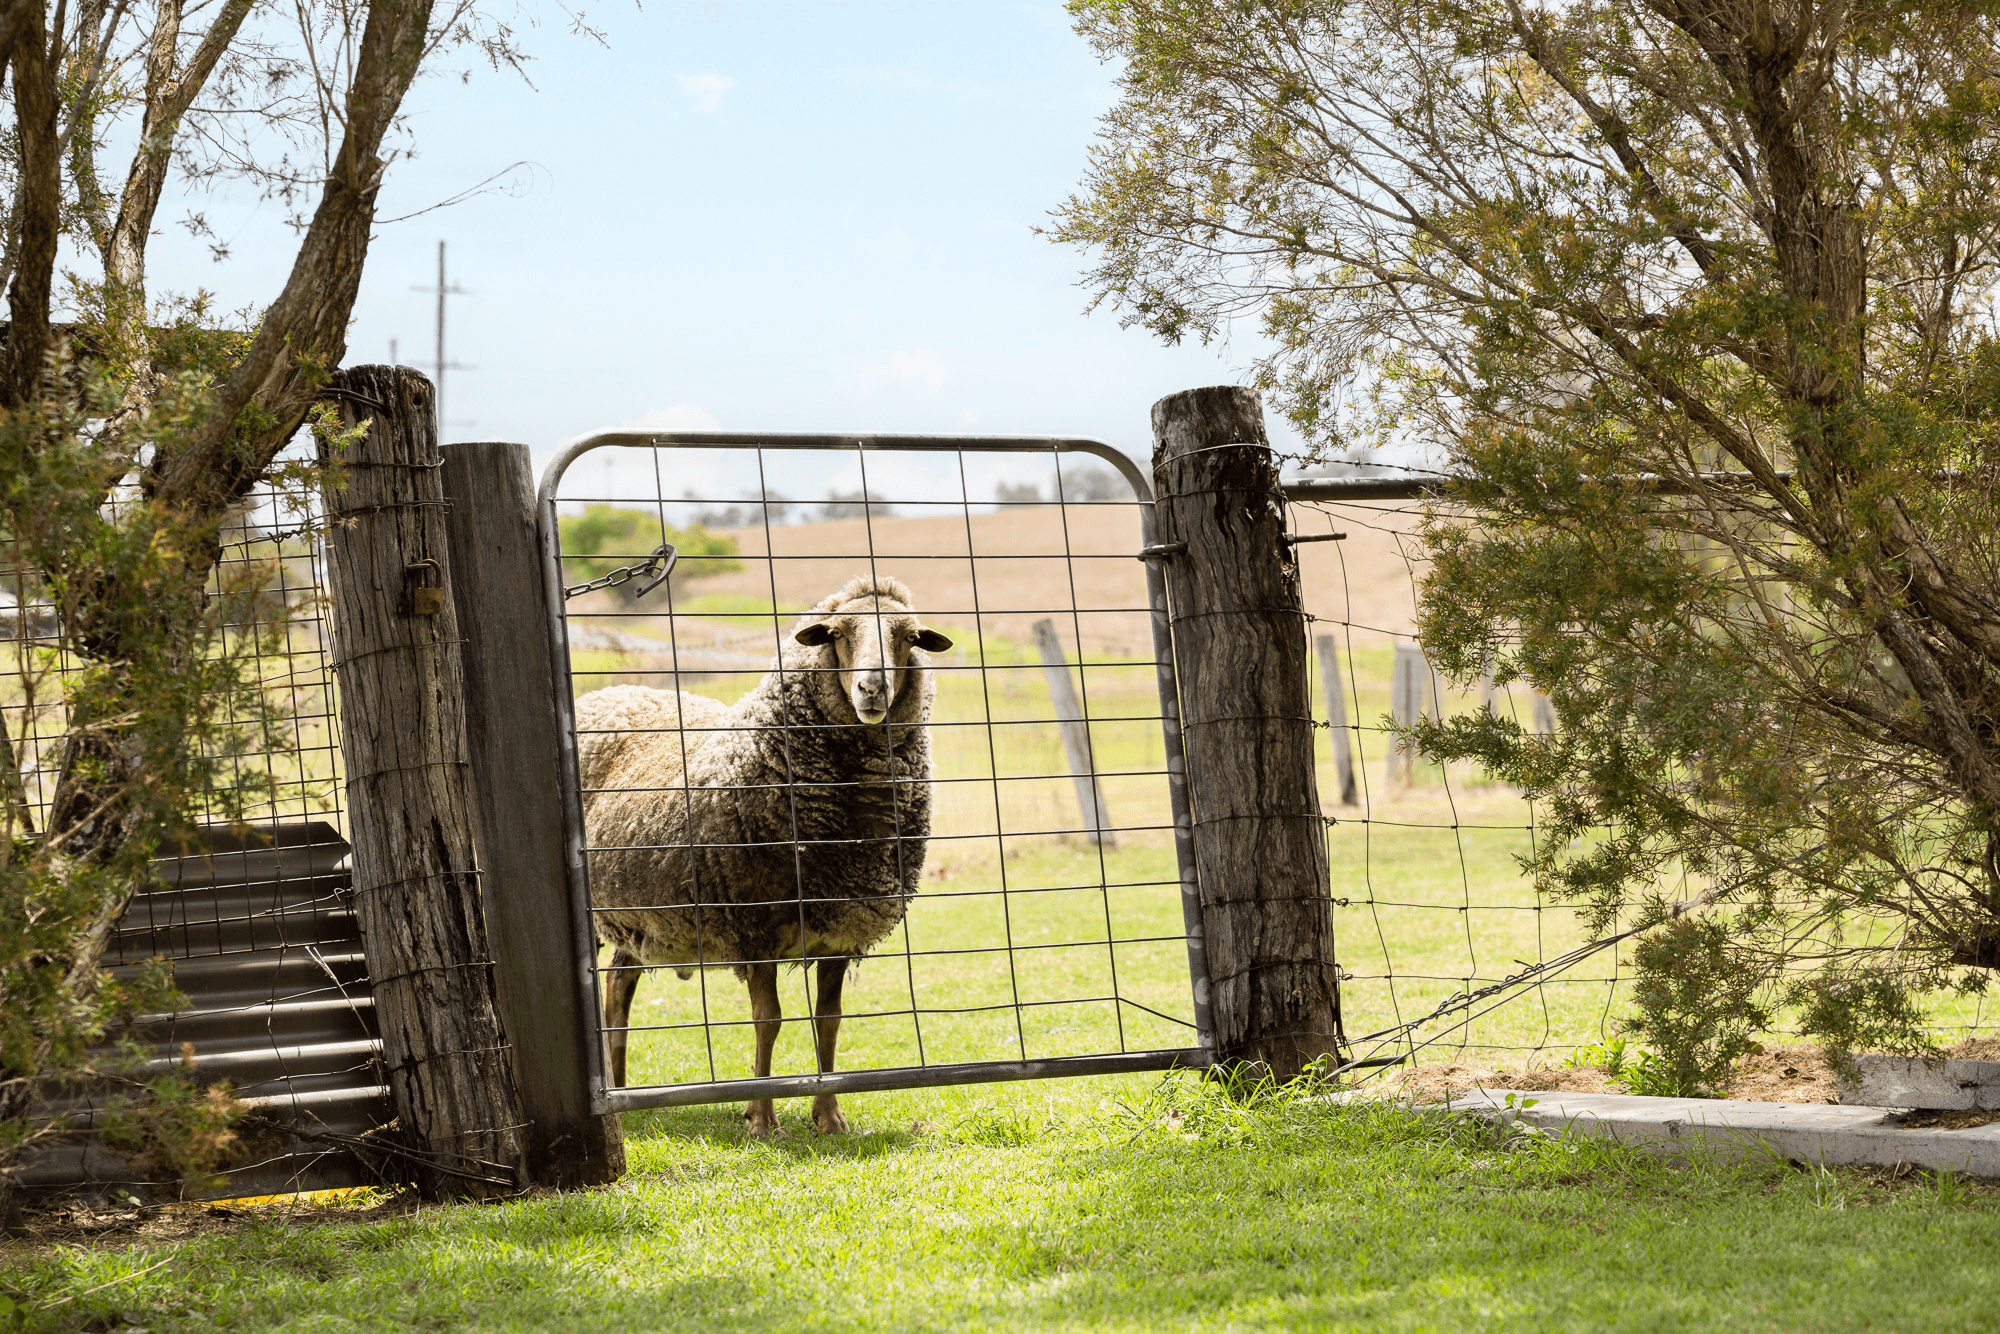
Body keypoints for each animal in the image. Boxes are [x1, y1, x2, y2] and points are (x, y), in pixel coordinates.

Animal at [580, 576, 952, 1136]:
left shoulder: (839, 926)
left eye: (909, 637)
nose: (872, 690)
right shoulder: (752, 924)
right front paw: (760, 1115)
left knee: (619, 984)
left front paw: (829, 1115)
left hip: (644, 921)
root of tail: (612, 690)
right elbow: (768, 1019)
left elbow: (828, 1019)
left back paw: (623, 1092)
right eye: (837, 634)